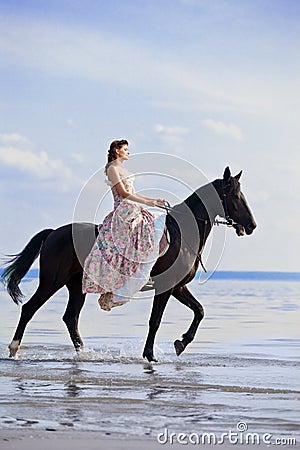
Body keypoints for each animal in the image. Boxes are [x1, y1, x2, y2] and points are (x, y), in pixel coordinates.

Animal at [1, 167, 256, 360]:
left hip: (76, 286)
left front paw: (181, 343)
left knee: (70, 318)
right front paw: (150, 355)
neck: (183, 236)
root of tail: (53, 233)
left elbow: (200, 311)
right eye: (235, 196)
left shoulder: (178, 287)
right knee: (30, 308)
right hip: (52, 281)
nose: (252, 225)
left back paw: (85, 353)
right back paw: (14, 349)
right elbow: (155, 320)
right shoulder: (166, 287)